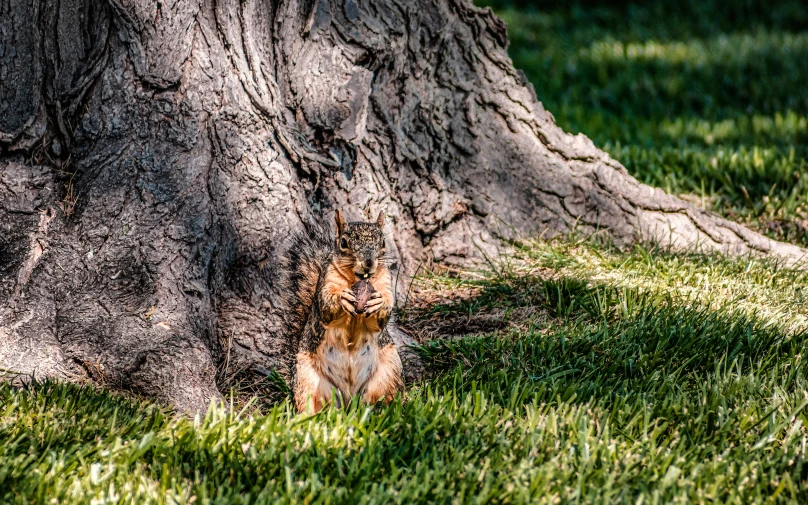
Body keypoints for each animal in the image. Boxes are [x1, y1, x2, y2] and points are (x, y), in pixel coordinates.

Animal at [280, 209, 404, 410]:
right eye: (344, 242)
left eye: (383, 242)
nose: (368, 262)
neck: (356, 279)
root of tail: (349, 400)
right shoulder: (327, 281)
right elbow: (326, 306)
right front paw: (342, 299)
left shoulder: (385, 282)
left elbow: (383, 316)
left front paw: (380, 302)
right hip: (306, 379)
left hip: (389, 372)